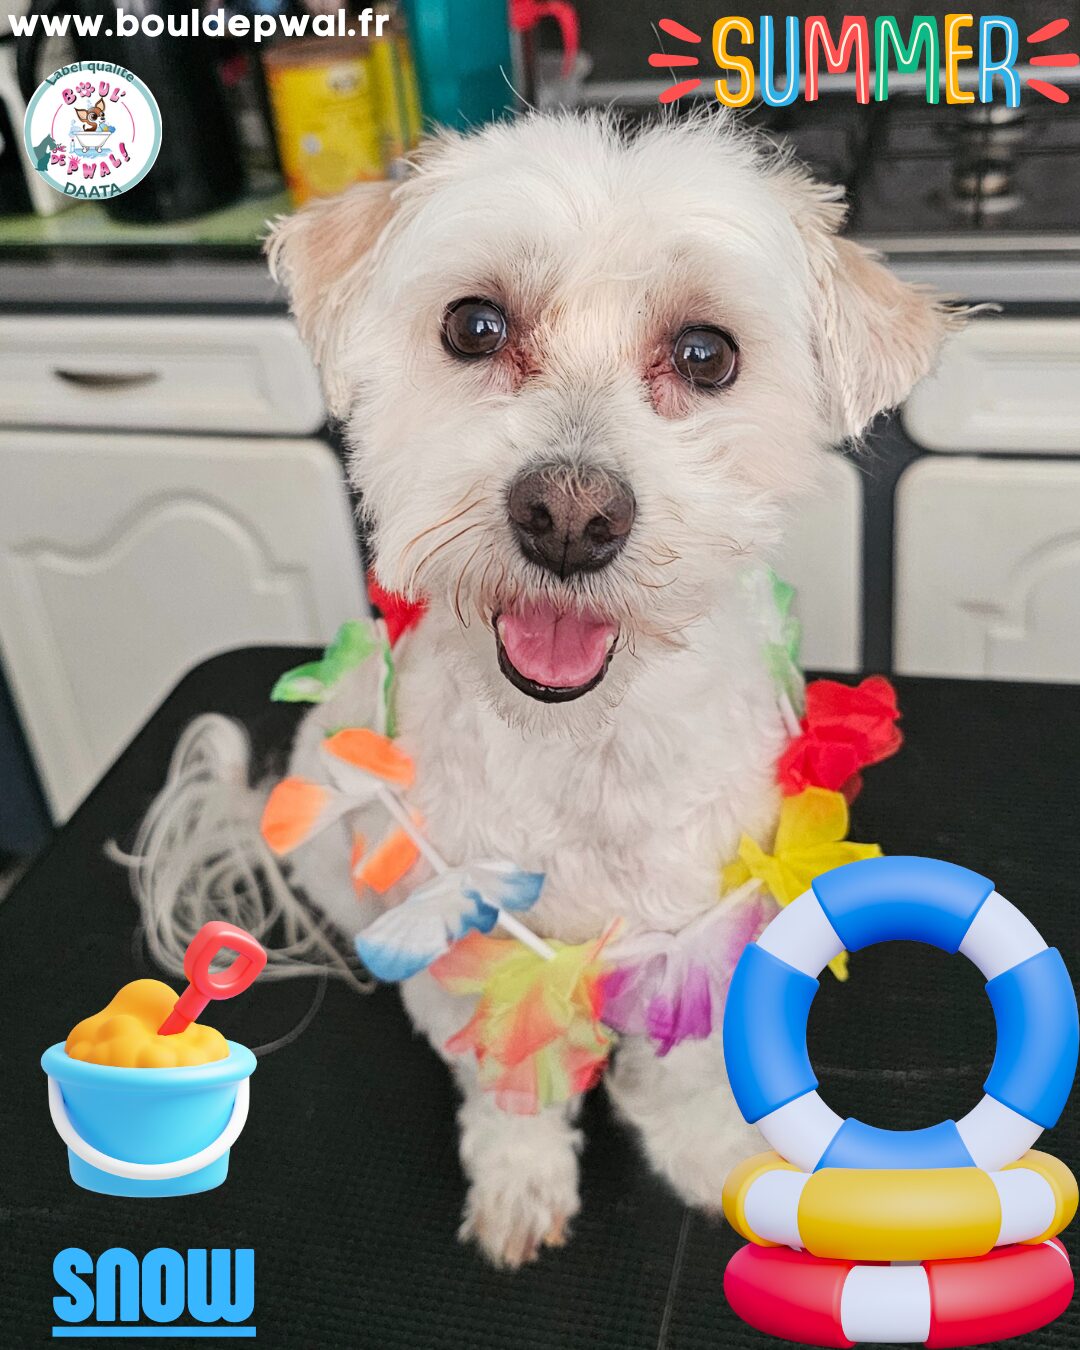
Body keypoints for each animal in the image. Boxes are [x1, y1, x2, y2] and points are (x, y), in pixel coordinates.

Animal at [144, 110, 953, 1269]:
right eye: (474, 326)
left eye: (707, 354)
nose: (570, 515)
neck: (584, 749)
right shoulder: (476, 935)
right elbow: (508, 1080)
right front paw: (523, 1178)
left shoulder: (696, 929)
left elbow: (686, 1066)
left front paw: (706, 1152)